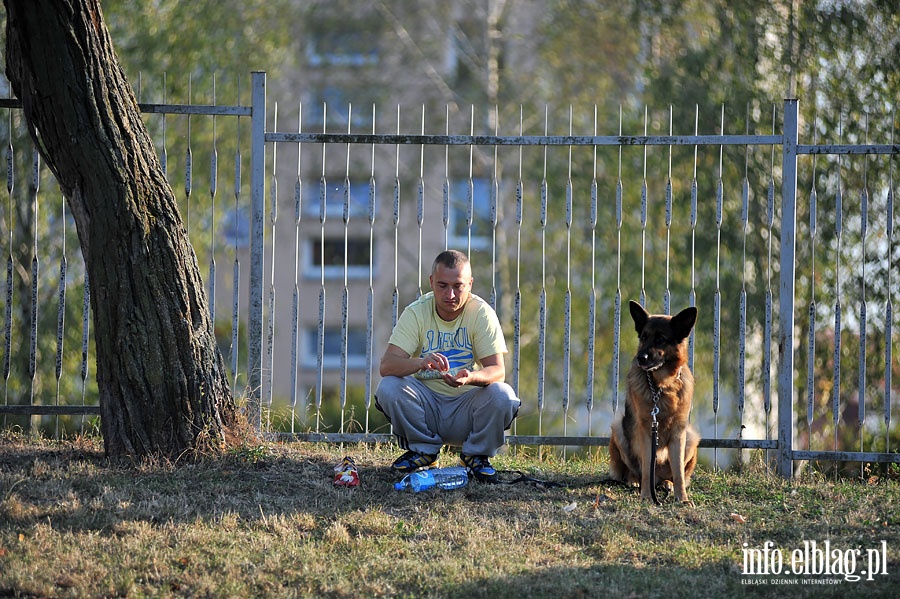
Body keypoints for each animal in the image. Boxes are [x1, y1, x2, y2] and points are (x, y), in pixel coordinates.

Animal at [608, 302, 700, 504]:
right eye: (643, 337)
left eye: (661, 339)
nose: (640, 358)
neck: (663, 387)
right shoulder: (646, 429)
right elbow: (646, 467)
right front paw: (647, 496)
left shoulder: (679, 433)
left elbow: (679, 472)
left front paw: (682, 498)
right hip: (619, 429)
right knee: (635, 470)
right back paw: (634, 480)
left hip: (691, 438)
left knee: (672, 473)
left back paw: (667, 483)